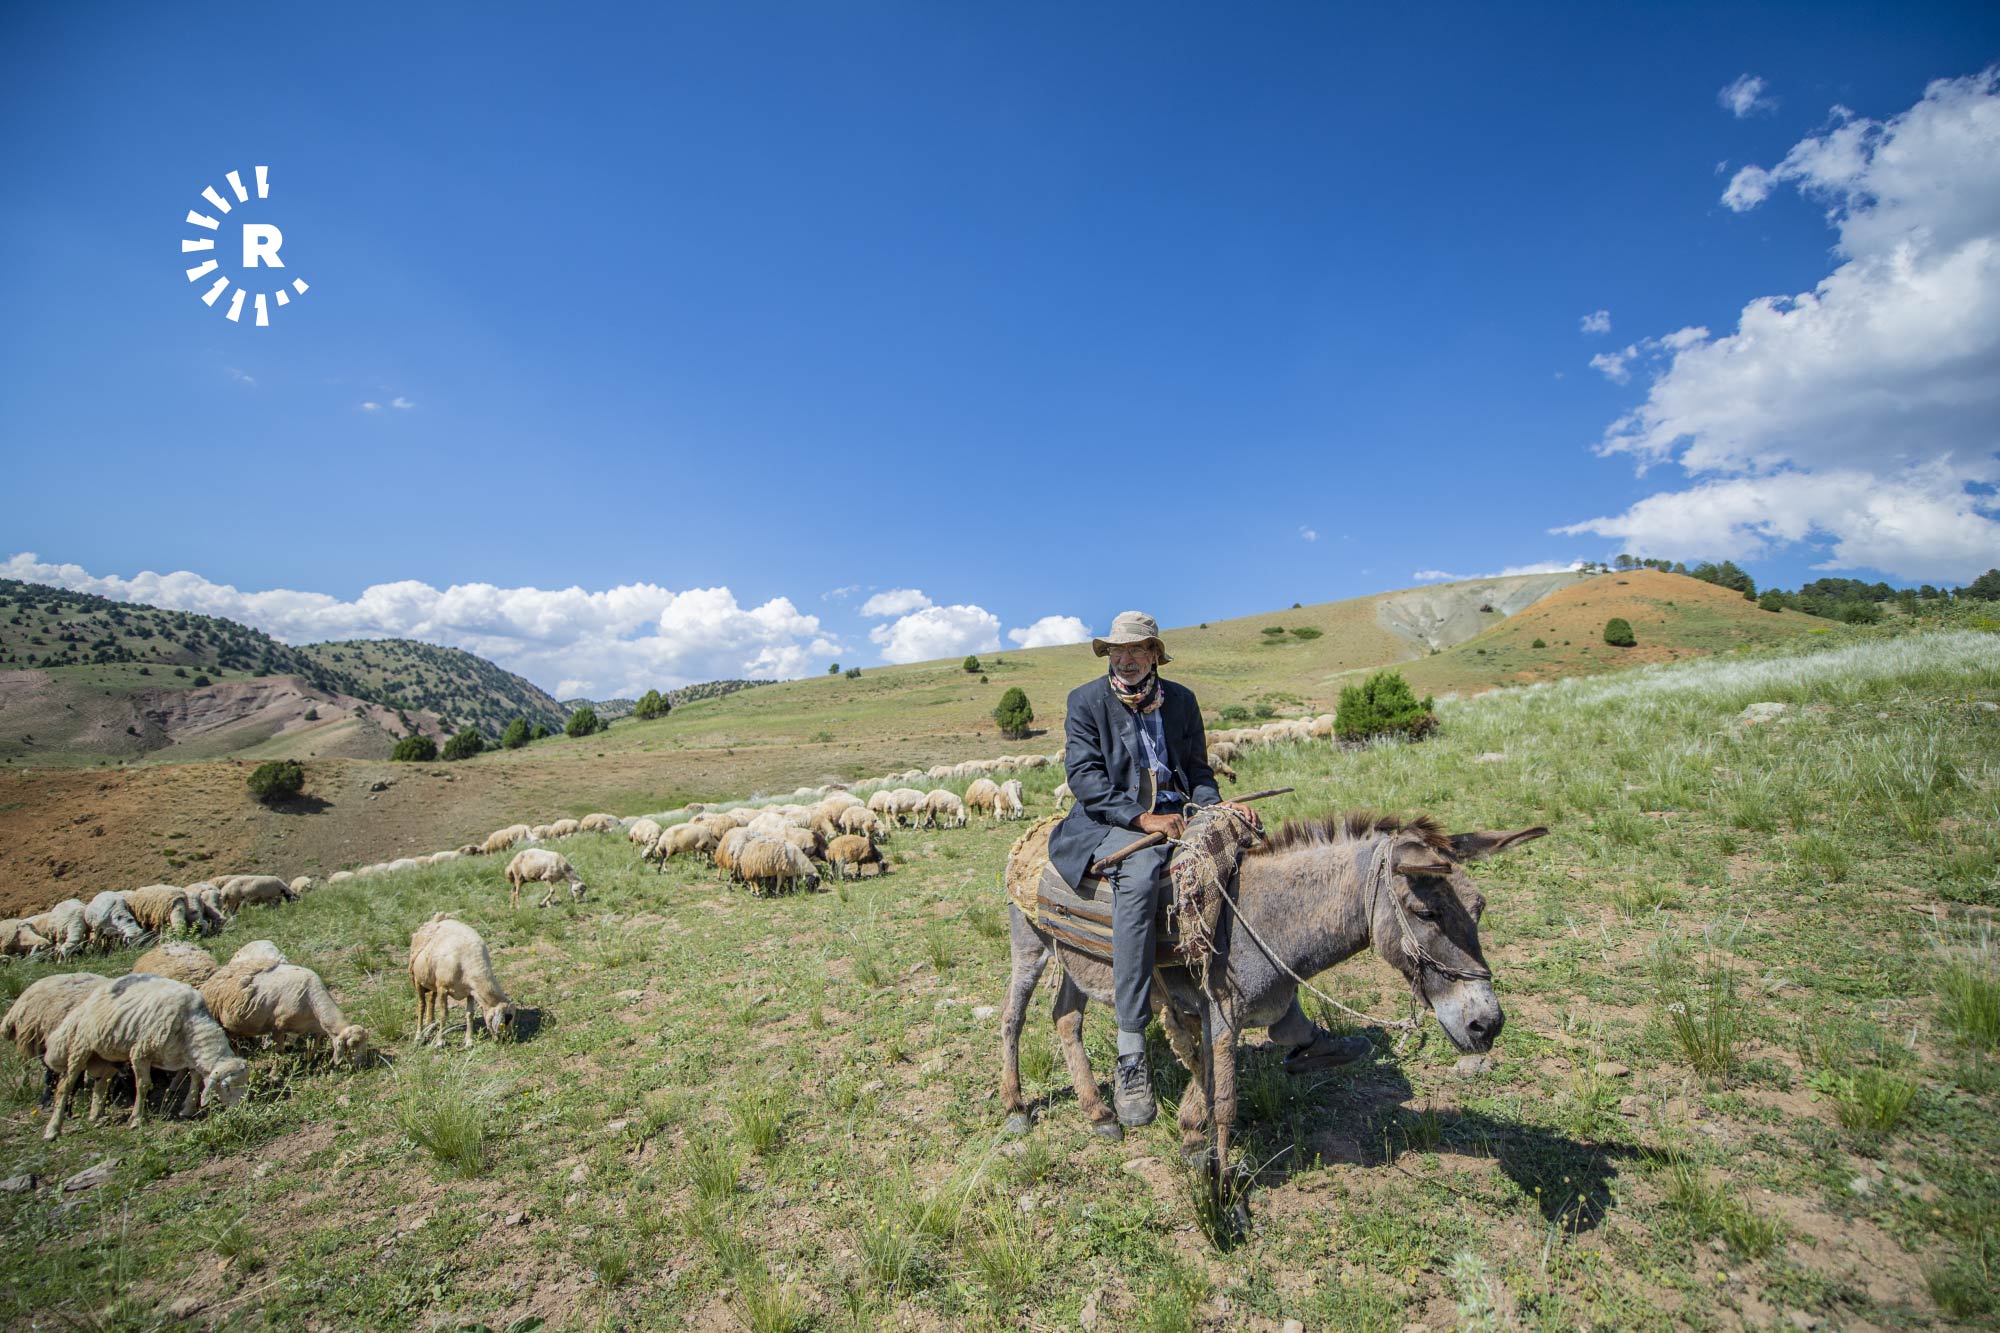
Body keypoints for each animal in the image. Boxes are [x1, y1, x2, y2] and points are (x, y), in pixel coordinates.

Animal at [41, 974, 249, 1139]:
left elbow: (196, 1081)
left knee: (102, 1082)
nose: (241, 1110)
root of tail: (86, 1003)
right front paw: (137, 1119)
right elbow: (143, 1085)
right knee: (64, 1086)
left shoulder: (190, 1058)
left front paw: (188, 1109)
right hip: (81, 1046)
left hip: (109, 1053)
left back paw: (96, 1114)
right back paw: (52, 1129)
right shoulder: (140, 1053)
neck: (192, 1024)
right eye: (226, 1086)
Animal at [201, 961, 369, 1066]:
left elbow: (317, 1040)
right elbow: (279, 1052)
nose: (361, 1065)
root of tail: (210, 980)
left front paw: (308, 1057)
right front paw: (274, 1074)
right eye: (352, 1044)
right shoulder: (278, 1027)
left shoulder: (314, 1024)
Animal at [409, 914, 515, 1048]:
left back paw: (430, 1027)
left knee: (431, 1000)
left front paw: (469, 1041)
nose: (507, 1039)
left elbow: (469, 1014)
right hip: (418, 980)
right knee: (421, 1005)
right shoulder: (442, 988)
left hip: (432, 982)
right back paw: (419, 1036)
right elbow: (444, 1015)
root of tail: (433, 921)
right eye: (507, 1019)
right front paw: (440, 1042)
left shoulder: (470, 991)